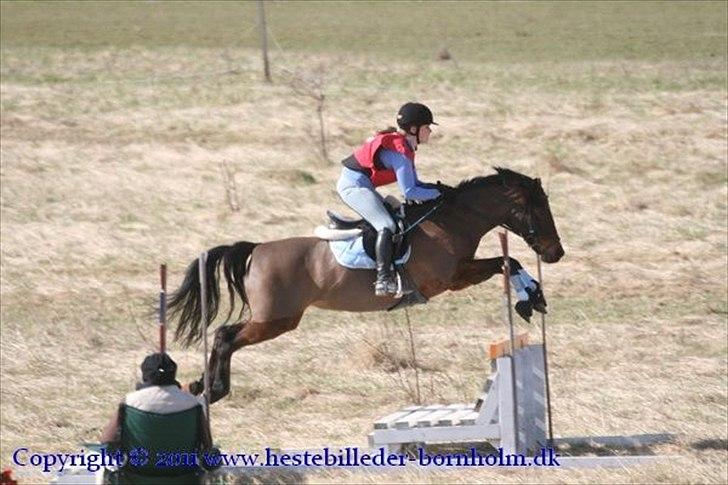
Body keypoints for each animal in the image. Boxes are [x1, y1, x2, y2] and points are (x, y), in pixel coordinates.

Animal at [168, 167, 564, 403]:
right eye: (539, 210)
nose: (556, 253)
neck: (453, 220)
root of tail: (256, 250)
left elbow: (508, 263)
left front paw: (534, 296)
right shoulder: (452, 278)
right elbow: (506, 262)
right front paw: (528, 298)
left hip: (274, 319)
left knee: (225, 336)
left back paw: (203, 386)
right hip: (275, 319)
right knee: (226, 336)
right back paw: (212, 389)